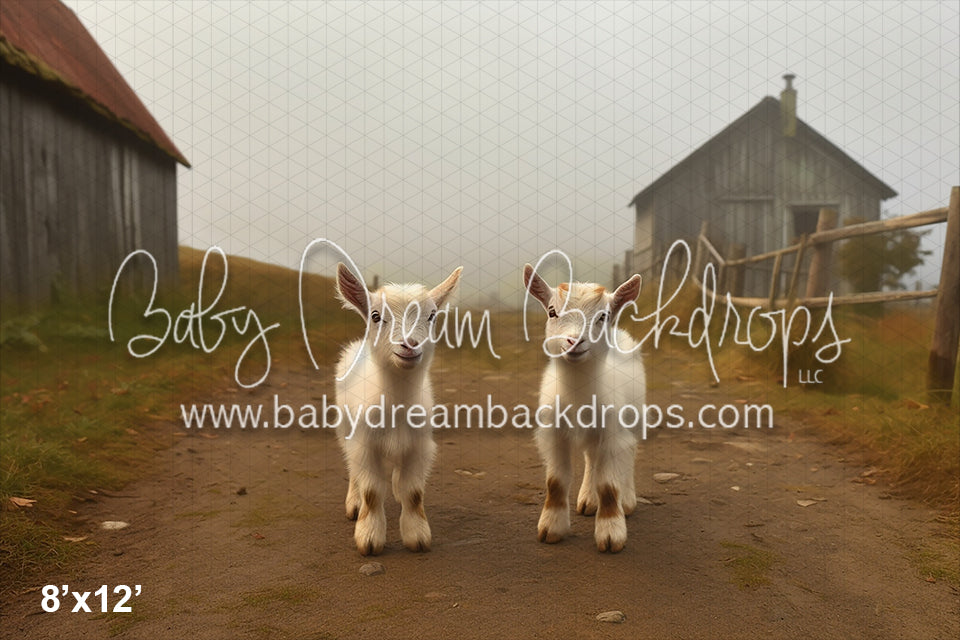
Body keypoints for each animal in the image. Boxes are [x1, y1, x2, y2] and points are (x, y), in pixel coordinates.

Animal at [334, 263, 462, 555]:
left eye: (432, 316)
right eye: (375, 315)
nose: (409, 344)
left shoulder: (419, 446)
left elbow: (413, 493)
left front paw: (417, 536)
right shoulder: (365, 443)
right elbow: (371, 491)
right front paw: (369, 538)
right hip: (345, 426)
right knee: (351, 466)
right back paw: (353, 502)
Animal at [523, 264, 645, 552]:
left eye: (603, 316)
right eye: (552, 311)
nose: (574, 342)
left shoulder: (612, 432)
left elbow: (609, 485)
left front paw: (611, 534)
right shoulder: (554, 434)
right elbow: (556, 482)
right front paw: (551, 528)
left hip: (632, 419)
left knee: (629, 451)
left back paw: (627, 500)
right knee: (592, 458)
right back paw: (588, 499)